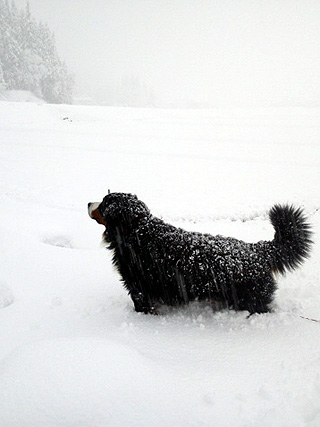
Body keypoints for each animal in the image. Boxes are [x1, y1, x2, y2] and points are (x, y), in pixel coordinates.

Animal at [88, 192, 312, 316]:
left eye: (104, 203)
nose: (88, 203)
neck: (137, 230)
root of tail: (258, 250)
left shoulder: (137, 285)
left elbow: (142, 305)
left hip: (251, 300)